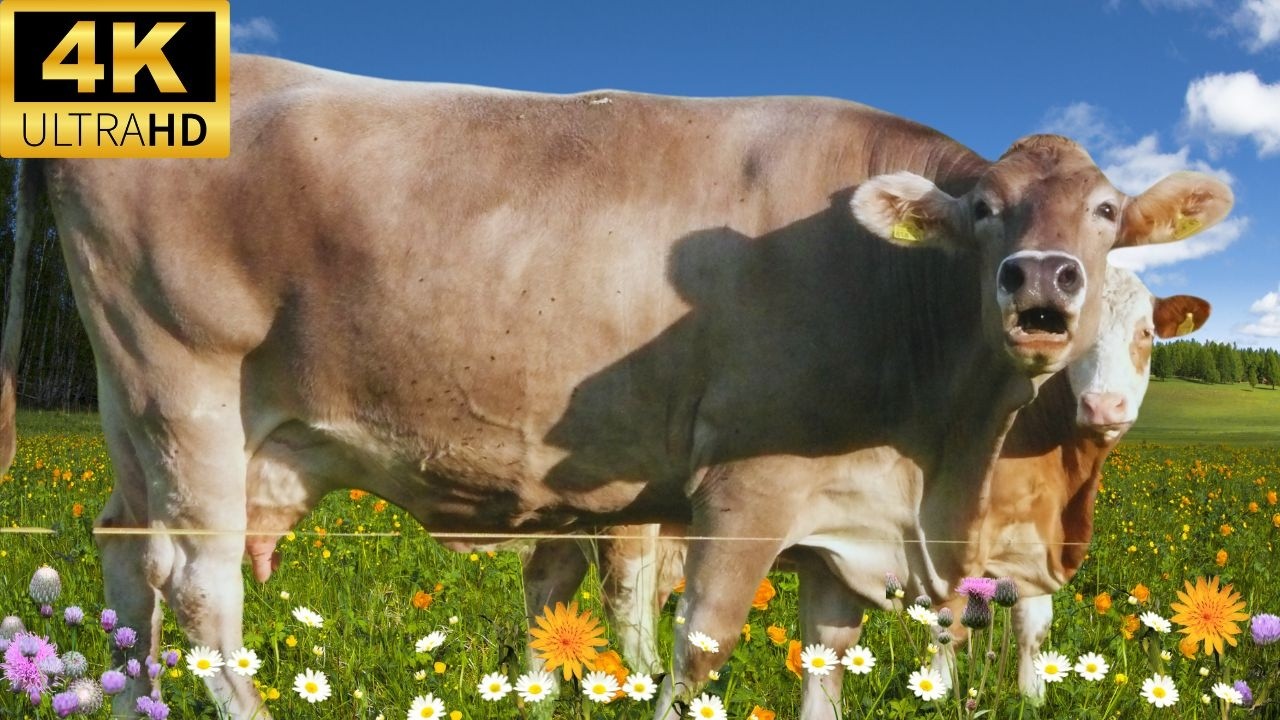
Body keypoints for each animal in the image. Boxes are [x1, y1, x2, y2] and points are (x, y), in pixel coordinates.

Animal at [541, 266, 1209, 716]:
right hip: (630, 519)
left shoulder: (1030, 545)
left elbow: (1033, 625)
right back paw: (640, 680)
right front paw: (941, 692)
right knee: (627, 598)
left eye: (1147, 333)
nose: (1105, 407)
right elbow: (951, 624)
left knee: (560, 585)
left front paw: (1033, 696)